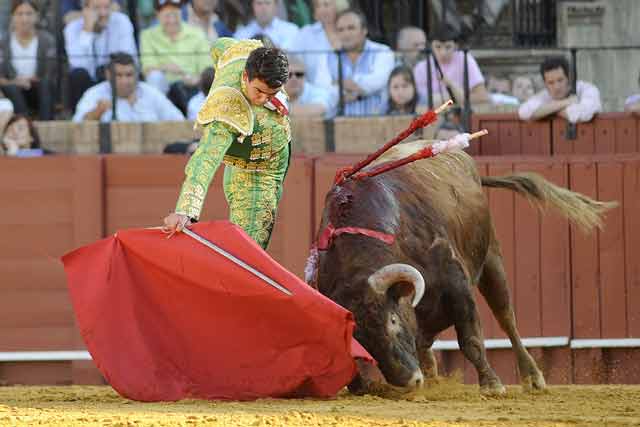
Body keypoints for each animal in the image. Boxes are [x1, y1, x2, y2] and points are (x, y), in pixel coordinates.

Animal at [310, 140, 616, 394]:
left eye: (393, 320)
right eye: (360, 339)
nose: (409, 382)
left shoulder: (456, 284)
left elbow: (470, 339)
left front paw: (491, 385)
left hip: (492, 258)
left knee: (506, 318)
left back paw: (533, 378)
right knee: (427, 339)